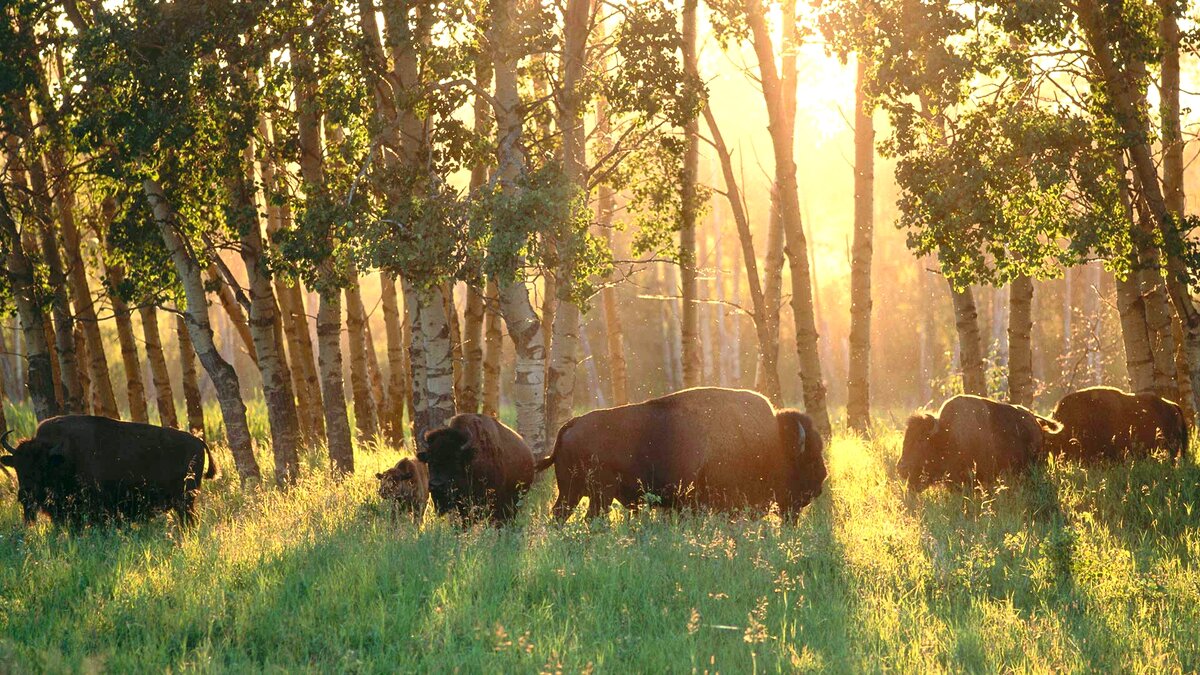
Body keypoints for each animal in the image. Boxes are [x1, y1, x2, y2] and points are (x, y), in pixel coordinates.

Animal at [1, 413, 216, 528]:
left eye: (42, 466)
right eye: (17, 466)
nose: (25, 494)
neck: (63, 455)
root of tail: (198, 441)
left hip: (185, 500)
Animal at [535, 386, 825, 516]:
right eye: (809, 460)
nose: (820, 484)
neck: (773, 442)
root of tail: (571, 424)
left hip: (571, 493)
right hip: (599, 495)